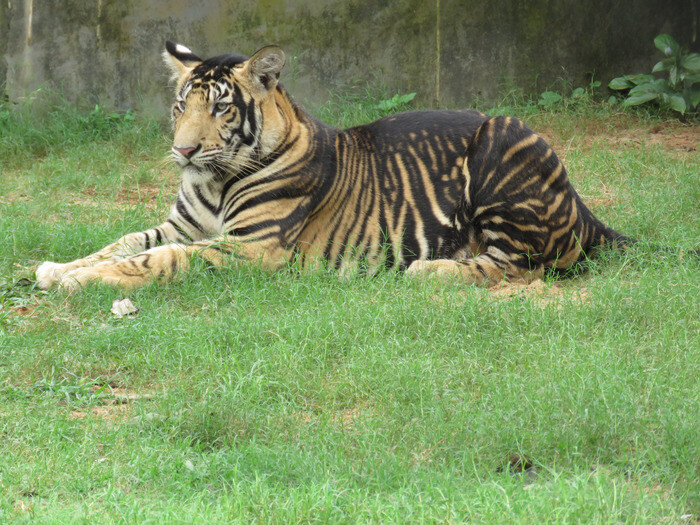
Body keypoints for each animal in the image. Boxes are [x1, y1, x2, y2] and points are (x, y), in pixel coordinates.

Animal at [35, 41, 632, 292]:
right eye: (182, 106)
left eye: (221, 108)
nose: (182, 152)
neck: (216, 179)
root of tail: (582, 207)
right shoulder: (183, 224)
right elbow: (126, 241)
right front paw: (58, 267)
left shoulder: (253, 246)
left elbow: (158, 259)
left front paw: (78, 280)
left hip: (504, 138)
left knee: (520, 264)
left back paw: (428, 269)